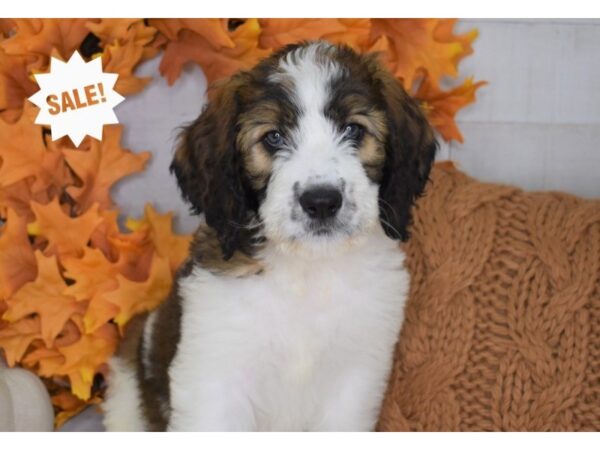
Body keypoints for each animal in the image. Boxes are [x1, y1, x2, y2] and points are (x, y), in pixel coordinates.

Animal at [103, 42, 436, 432]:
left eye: (354, 130)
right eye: (274, 137)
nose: (321, 202)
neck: (307, 272)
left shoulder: (355, 378)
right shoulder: (213, 378)